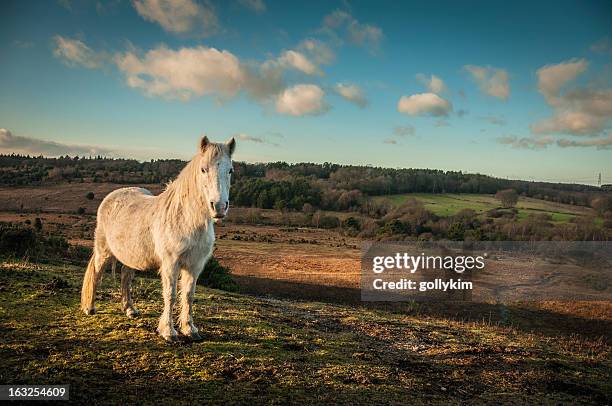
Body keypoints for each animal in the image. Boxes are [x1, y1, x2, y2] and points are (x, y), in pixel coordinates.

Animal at [81, 137, 234, 342]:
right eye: (203, 169)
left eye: (230, 170)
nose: (219, 207)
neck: (185, 218)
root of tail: (112, 197)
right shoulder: (171, 263)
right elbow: (170, 295)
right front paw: (168, 332)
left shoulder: (195, 265)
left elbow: (188, 295)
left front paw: (190, 329)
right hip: (103, 251)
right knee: (96, 274)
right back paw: (90, 308)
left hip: (130, 256)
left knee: (125, 277)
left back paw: (130, 310)